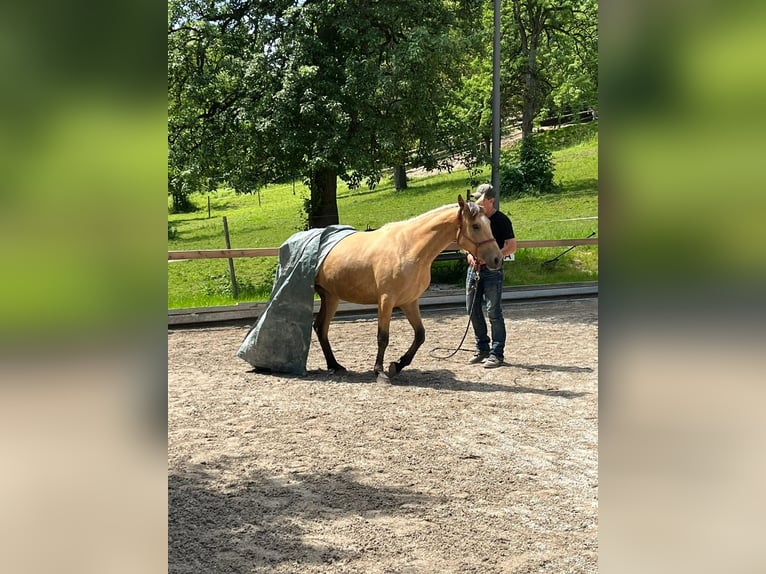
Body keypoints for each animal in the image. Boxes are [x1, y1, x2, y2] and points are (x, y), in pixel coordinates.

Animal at [316, 196, 508, 384]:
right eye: (475, 226)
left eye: (489, 224)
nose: (497, 259)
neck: (408, 248)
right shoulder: (386, 301)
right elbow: (383, 337)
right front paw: (380, 372)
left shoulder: (409, 301)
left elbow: (420, 335)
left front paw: (397, 365)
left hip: (331, 297)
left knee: (320, 327)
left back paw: (334, 365)